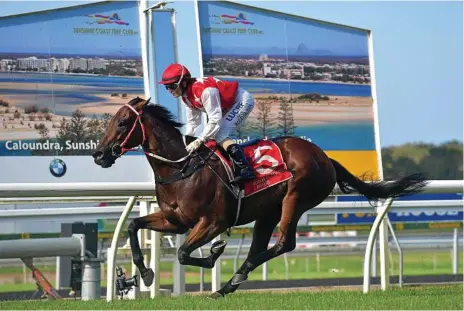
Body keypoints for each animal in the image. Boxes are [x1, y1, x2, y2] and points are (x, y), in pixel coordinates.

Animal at [91, 98, 428, 300]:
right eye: (110, 120)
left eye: (122, 123)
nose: (99, 154)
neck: (181, 168)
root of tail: (325, 157)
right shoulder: (175, 220)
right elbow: (133, 225)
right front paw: (145, 272)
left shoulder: (213, 222)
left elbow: (185, 253)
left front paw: (214, 253)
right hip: (268, 212)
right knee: (262, 246)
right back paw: (229, 284)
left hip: (295, 199)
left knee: (284, 244)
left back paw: (233, 279)